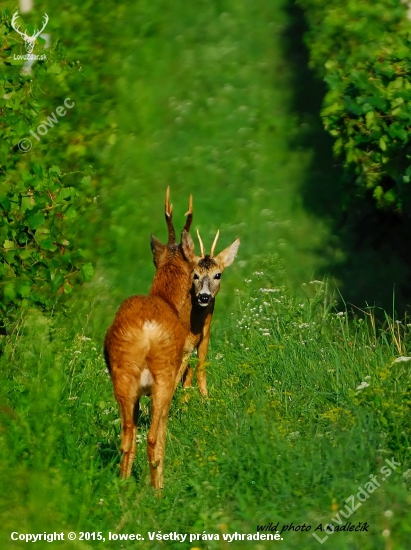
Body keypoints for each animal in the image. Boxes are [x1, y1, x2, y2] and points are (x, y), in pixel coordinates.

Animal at [105, 191, 197, 492]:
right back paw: (158, 490)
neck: (166, 299)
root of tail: (146, 332)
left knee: (127, 437)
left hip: (123, 376)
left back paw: (123, 486)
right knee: (154, 437)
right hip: (164, 377)